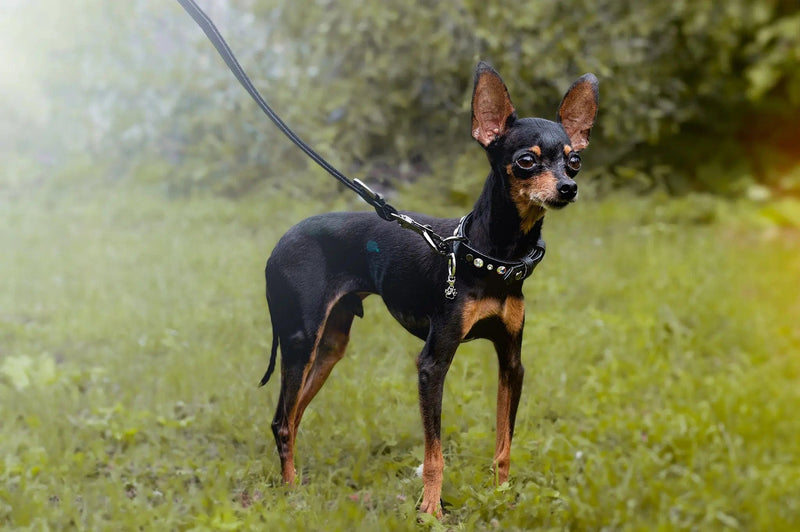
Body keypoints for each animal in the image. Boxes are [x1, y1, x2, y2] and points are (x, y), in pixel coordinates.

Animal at [262, 61, 600, 516]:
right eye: (526, 161)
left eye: (574, 160)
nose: (568, 188)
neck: (492, 255)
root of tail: (280, 243)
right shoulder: (432, 364)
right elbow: (434, 454)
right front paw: (431, 511)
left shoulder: (512, 363)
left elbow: (503, 445)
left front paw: (501, 498)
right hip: (301, 342)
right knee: (281, 421)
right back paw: (291, 492)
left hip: (330, 346)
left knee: (294, 416)